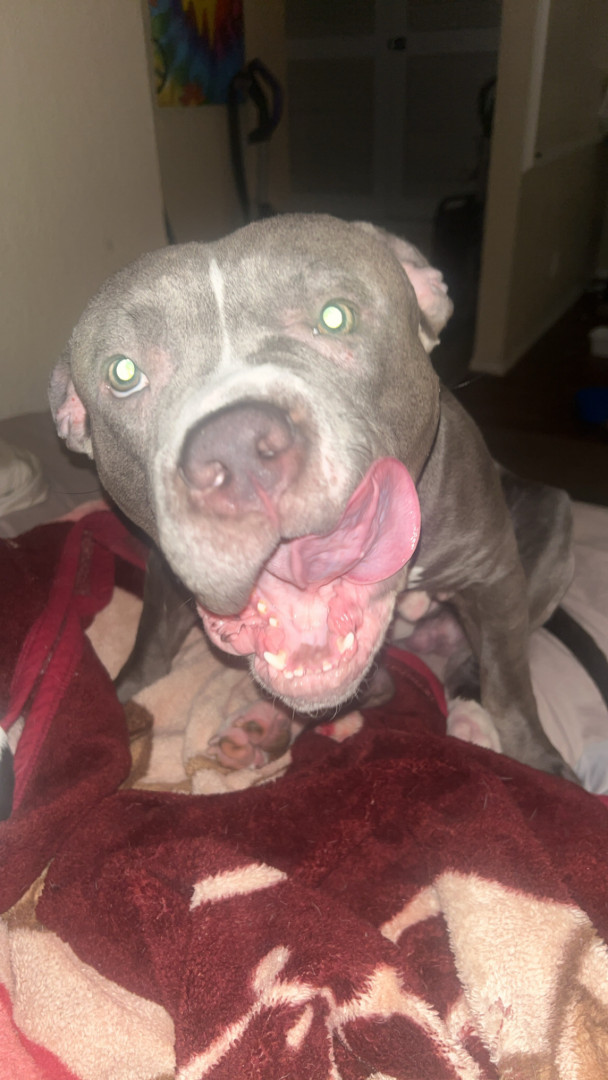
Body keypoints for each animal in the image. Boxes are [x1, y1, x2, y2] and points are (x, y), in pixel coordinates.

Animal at [49, 214, 575, 778]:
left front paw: (541, 766)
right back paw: (267, 722)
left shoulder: (493, 573)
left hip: (551, 520)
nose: (237, 450)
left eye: (335, 316)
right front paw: (118, 706)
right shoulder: (166, 572)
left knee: (472, 661)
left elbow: (510, 687)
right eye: (123, 372)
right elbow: (149, 649)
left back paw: (469, 715)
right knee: (379, 686)